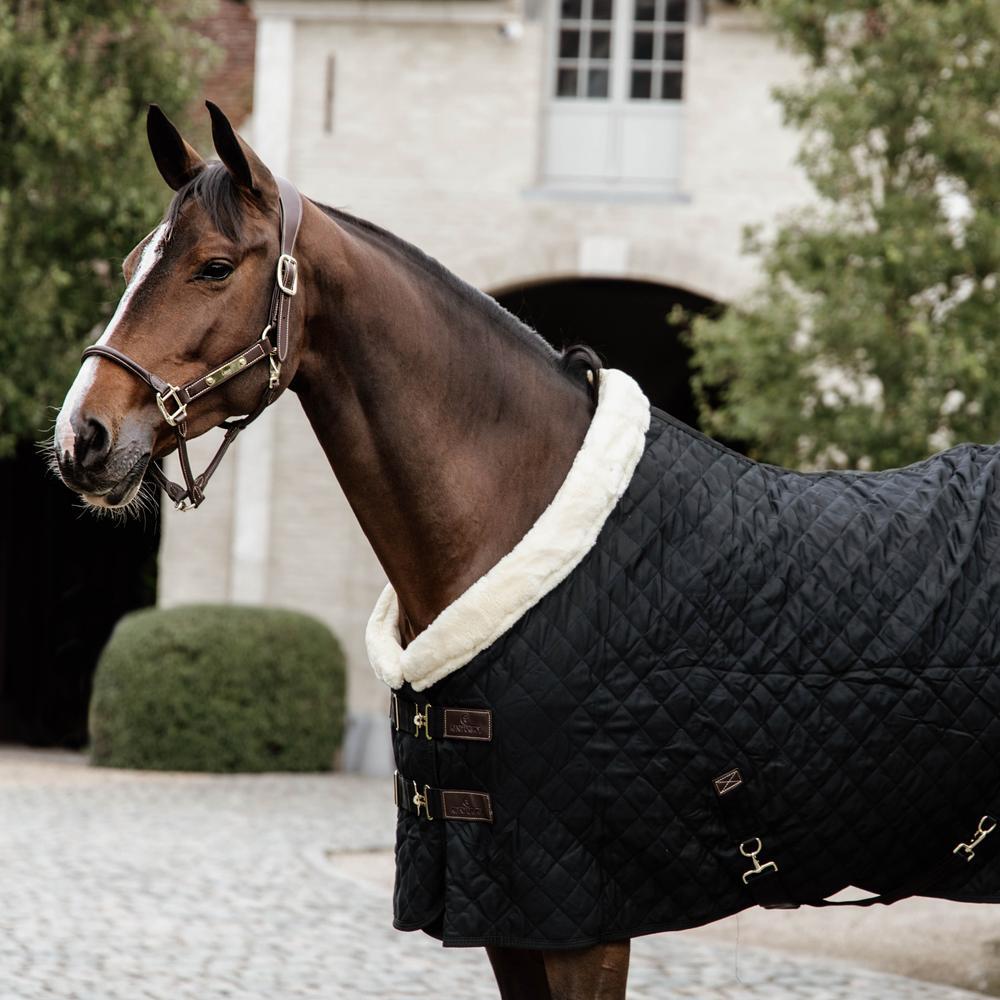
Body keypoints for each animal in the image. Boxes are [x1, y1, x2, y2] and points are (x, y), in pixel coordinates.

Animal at [54, 103, 1000, 998]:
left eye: (214, 266)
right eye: (134, 261)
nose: (82, 437)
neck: (517, 515)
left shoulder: (581, 915)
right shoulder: (500, 910)